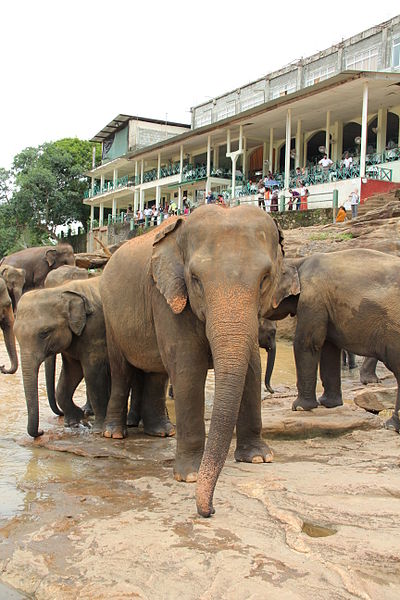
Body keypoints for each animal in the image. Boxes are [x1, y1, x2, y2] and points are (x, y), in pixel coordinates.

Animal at [14, 276, 110, 436]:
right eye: (16, 336)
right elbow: (71, 373)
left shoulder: (95, 330)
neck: (60, 290)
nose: (41, 431)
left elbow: (93, 373)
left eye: (45, 333)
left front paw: (97, 429)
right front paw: (73, 423)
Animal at [98, 206, 296, 516]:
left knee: (156, 373)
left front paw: (258, 458)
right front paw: (190, 475)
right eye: (196, 279)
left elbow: (252, 366)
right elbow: (188, 368)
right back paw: (114, 435)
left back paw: (161, 432)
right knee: (121, 370)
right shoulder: (166, 295)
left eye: (265, 279)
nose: (210, 510)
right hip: (111, 317)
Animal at [266, 248, 400, 432]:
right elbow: (328, 347)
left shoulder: (313, 298)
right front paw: (329, 404)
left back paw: (390, 425)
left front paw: (299, 407)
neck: (298, 262)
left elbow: (307, 343)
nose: (272, 392)